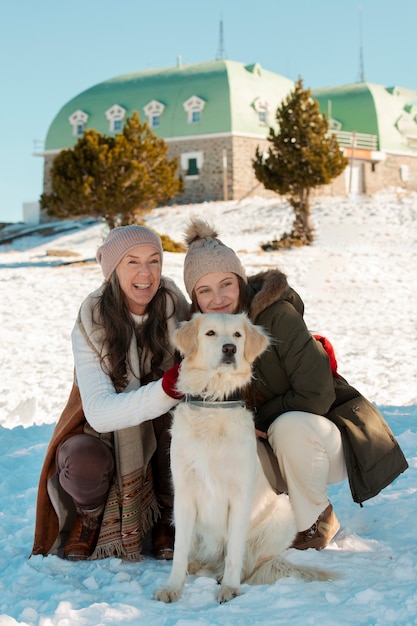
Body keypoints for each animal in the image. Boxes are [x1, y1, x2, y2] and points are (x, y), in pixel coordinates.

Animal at [153, 314, 332, 604]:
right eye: (210, 333)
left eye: (237, 335)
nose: (230, 349)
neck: (214, 403)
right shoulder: (184, 494)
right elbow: (179, 552)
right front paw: (172, 587)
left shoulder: (239, 495)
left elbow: (234, 554)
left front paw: (229, 588)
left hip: (283, 512)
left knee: (248, 563)